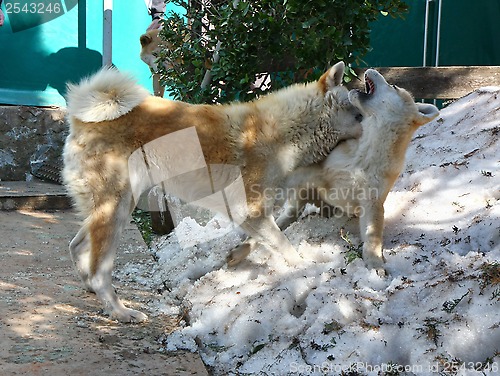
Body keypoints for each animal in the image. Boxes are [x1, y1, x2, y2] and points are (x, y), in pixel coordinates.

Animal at [278, 68, 438, 274]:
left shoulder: (372, 204)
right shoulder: (321, 173)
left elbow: (372, 239)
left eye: (393, 86)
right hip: (303, 194)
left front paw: (375, 264)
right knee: (291, 211)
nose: (372, 69)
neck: (365, 154)